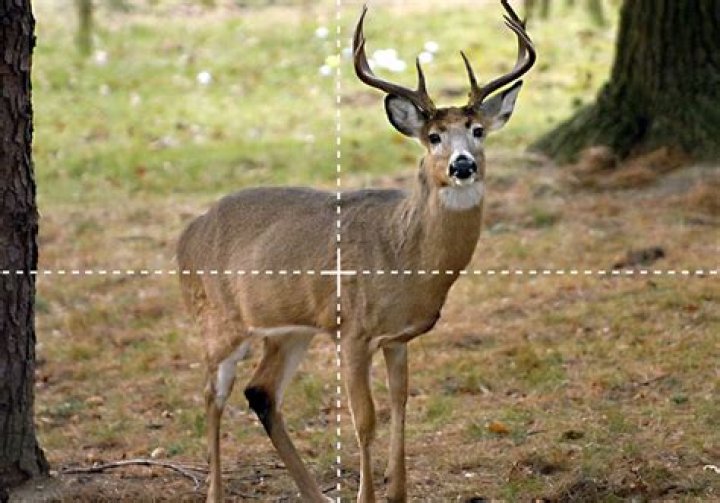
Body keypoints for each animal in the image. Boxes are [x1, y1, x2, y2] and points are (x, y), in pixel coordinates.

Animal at [177, 1, 535, 501]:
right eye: (434, 137)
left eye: (478, 130)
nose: (462, 165)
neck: (403, 256)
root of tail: (187, 235)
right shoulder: (352, 330)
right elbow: (365, 420)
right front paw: (367, 494)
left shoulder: (398, 338)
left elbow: (401, 406)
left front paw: (397, 492)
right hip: (218, 318)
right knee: (212, 394)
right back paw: (216, 492)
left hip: (289, 328)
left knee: (261, 391)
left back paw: (315, 493)